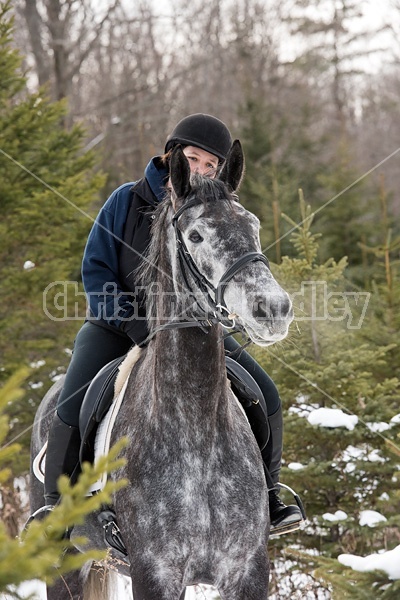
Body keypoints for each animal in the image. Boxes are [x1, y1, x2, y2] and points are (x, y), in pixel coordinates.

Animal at [29, 142, 294, 600]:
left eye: (254, 224)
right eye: (196, 235)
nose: (273, 309)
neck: (195, 432)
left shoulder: (247, 571)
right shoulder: (155, 572)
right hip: (64, 565)